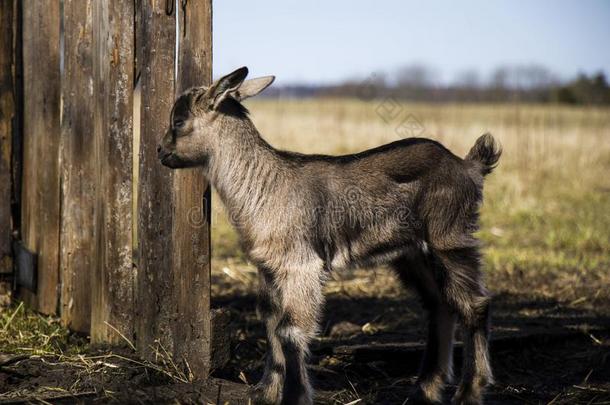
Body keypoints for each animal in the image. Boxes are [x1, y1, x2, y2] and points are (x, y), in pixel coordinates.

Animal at [157, 67, 498, 404]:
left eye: (179, 121)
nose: (161, 151)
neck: (266, 184)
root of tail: (468, 167)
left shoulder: (301, 265)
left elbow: (290, 330)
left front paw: (294, 396)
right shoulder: (268, 268)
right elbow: (270, 320)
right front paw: (266, 391)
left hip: (450, 238)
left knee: (473, 304)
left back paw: (469, 391)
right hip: (413, 254)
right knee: (440, 304)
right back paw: (424, 389)